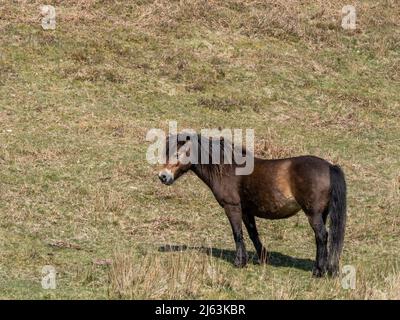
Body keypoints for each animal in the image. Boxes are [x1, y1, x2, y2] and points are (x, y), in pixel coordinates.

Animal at [158, 131, 346, 276]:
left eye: (177, 154)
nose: (163, 176)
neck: (227, 168)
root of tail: (330, 167)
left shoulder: (232, 207)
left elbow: (237, 233)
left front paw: (239, 262)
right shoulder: (246, 211)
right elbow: (252, 233)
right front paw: (263, 258)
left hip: (313, 214)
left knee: (321, 236)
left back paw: (318, 271)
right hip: (322, 213)